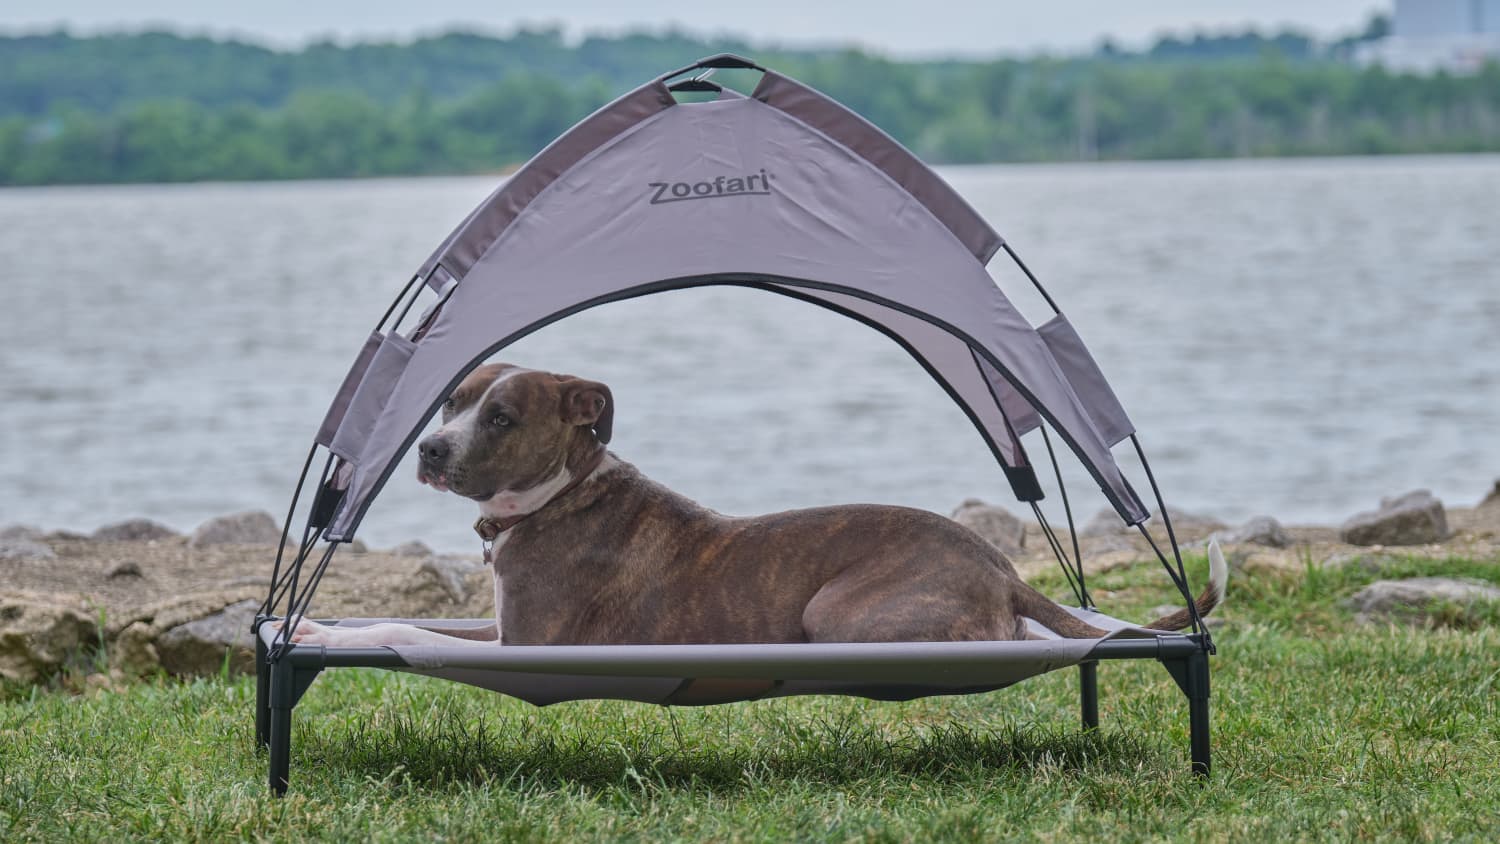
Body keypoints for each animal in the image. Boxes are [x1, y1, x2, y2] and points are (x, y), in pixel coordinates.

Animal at [279, 361, 1218, 647]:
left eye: (502, 416)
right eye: (450, 401)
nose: (430, 451)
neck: (558, 494)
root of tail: (1003, 570)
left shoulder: (527, 642)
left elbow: (409, 631)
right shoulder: (503, 625)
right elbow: (408, 622)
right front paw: (315, 623)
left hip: (839, 613)